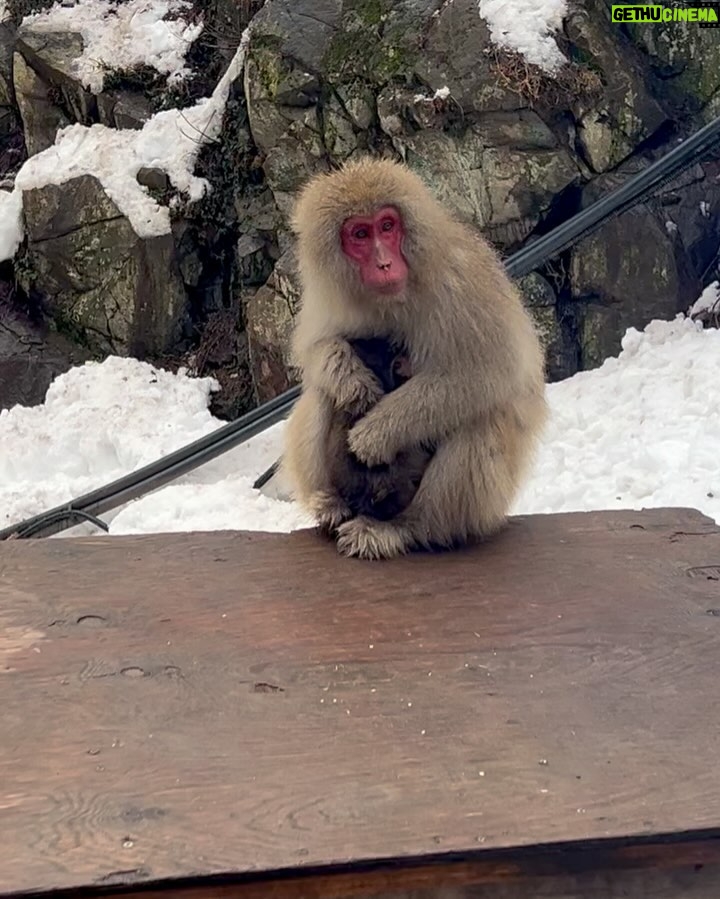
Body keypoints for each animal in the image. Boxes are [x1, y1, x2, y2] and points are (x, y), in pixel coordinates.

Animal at [280, 156, 548, 560]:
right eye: (360, 234)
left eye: (387, 226)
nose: (384, 263)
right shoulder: (328, 295)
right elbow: (316, 348)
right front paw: (349, 377)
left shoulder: (461, 280)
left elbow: (488, 371)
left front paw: (375, 434)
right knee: (321, 395)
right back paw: (330, 503)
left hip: (481, 507)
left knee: (481, 416)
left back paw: (406, 528)